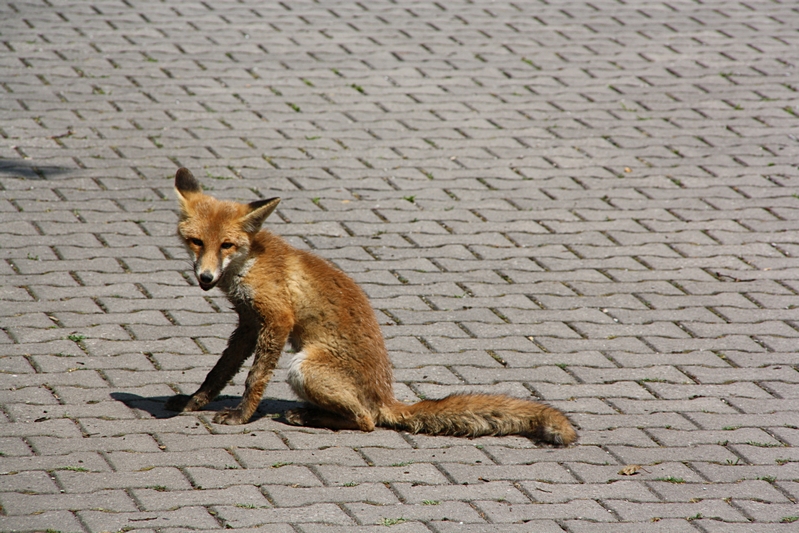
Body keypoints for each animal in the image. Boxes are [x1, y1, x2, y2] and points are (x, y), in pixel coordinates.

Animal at [169, 167, 580, 444]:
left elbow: (254, 378)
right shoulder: (248, 323)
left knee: (367, 420)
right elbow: (220, 371)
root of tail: (387, 396)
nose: (205, 278)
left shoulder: (277, 319)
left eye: (226, 245)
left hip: (303, 367)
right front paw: (195, 402)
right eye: (195, 242)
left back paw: (307, 417)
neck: (250, 263)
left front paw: (241, 415)